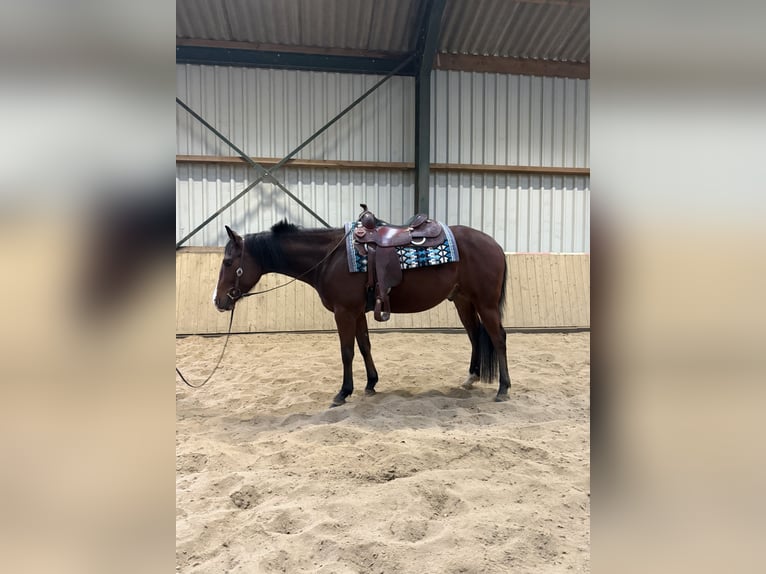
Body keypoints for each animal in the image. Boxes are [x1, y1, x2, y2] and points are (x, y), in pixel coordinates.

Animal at [213, 217, 510, 407]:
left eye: (228, 262)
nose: (217, 301)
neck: (330, 258)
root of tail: (496, 245)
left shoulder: (344, 312)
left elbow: (347, 351)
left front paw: (343, 393)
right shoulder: (356, 312)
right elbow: (365, 345)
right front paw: (370, 384)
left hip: (486, 303)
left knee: (498, 338)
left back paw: (503, 389)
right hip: (463, 301)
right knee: (474, 334)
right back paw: (472, 378)